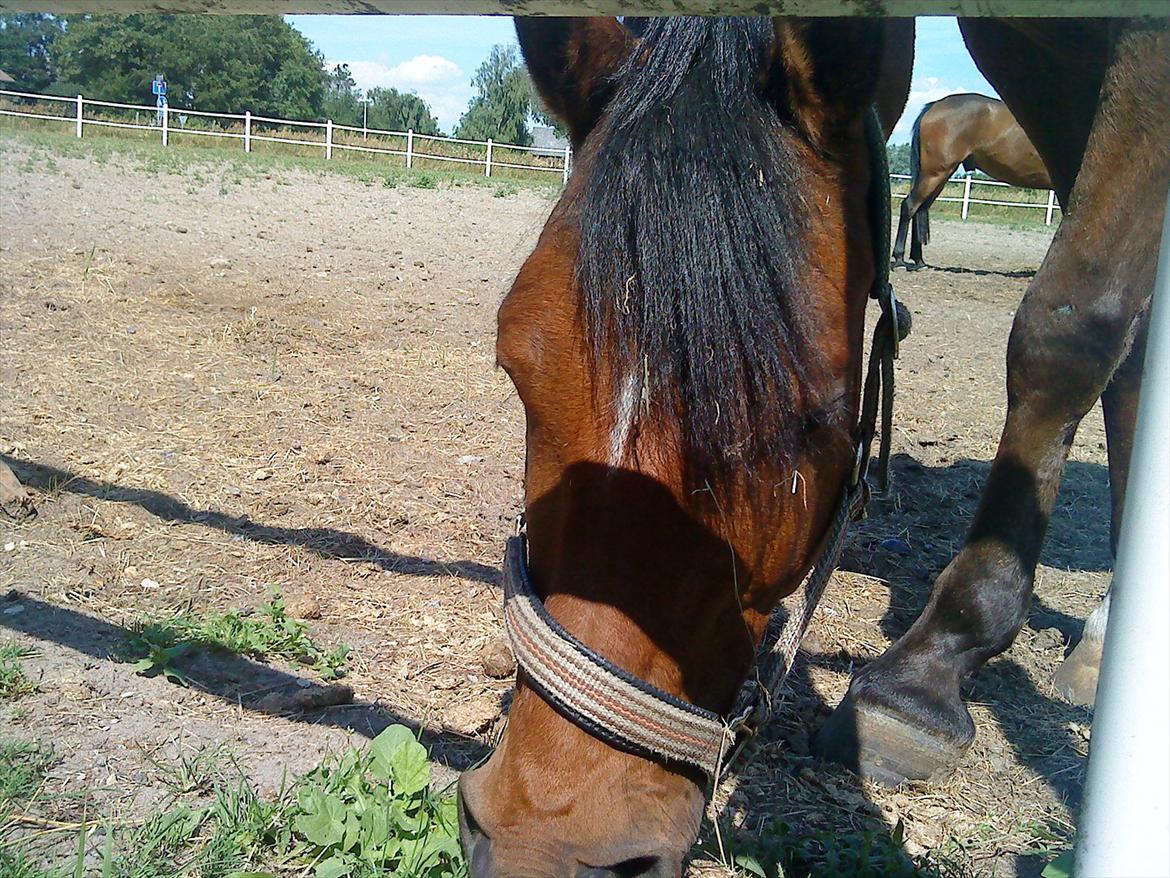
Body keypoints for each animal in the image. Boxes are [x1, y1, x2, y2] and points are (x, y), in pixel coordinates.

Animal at [892, 92, 1053, 270]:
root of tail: (934, 106)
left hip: (938, 176)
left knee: (920, 207)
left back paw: (919, 260)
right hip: (934, 174)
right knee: (910, 206)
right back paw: (899, 259)